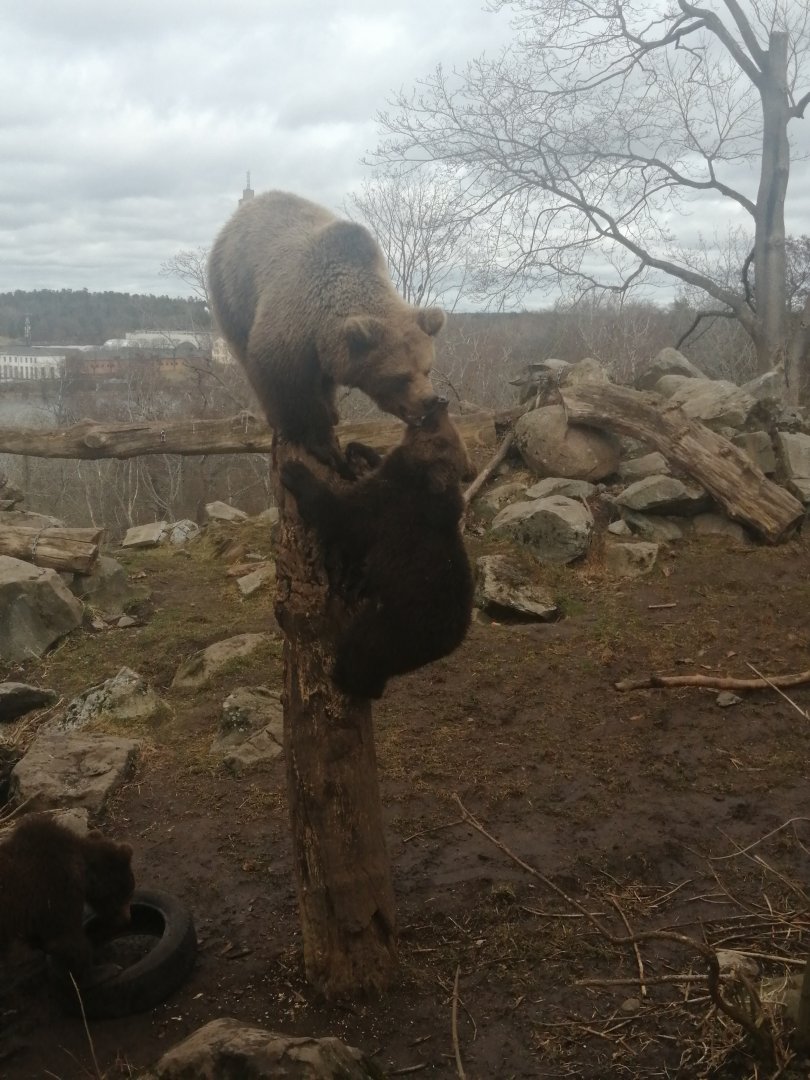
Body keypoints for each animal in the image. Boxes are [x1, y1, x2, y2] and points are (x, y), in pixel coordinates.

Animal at [208, 190, 445, 466]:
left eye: (427, 369)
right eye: (400, 377)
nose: (429, 400)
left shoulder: (328, 348)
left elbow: (324, 382)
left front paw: (330, 415)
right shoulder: (289, 327)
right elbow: (288, 386)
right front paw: (316, 440)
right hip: (233, 292)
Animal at [281, 399, 475, 699]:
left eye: (443, 435)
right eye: (450, 428)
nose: (440, 403)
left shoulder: (383, 509)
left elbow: (339, 514)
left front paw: (296, 472)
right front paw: (359, 448)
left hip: (395, 623)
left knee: (362, 651)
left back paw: (344, 676)